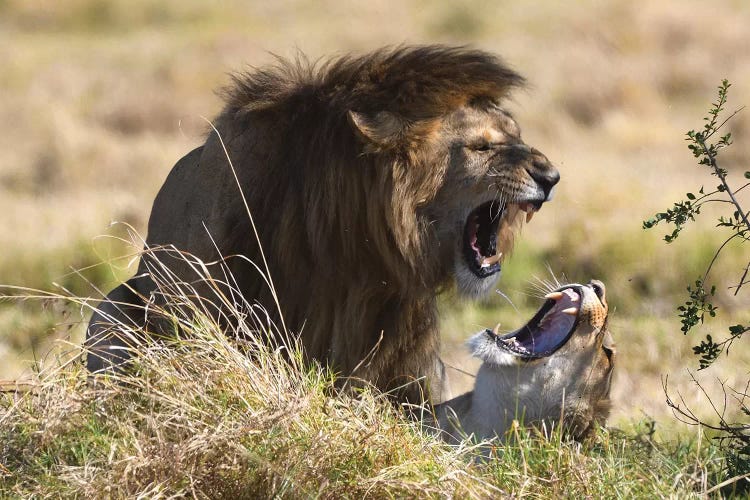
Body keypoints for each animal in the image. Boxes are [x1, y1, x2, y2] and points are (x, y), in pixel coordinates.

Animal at [85, 44, 560, 402]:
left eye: (518, 137)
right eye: (482, 147)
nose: (552, 177)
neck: (356, 243)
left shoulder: (407, 348)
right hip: (111, 307)